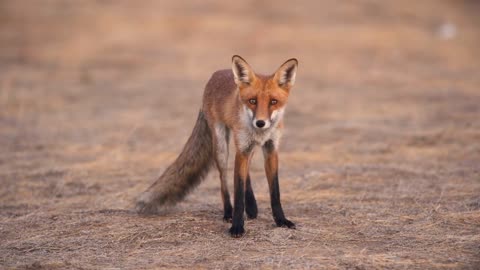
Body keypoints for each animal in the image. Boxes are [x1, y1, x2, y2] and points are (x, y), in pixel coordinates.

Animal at [137, 56, 298, 237]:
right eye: (252, 101)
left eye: (273, 102)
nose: (260, 123)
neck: (260, 133)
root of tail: (216, 74)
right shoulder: (242, 149)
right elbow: (238, 192)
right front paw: (237, 226)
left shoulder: (270, 149)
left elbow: (275, 191)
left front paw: (281, 221)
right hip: (222, 147)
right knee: (224, 180)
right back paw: (228, 212)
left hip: (247, 148)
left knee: (246, 172)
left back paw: (251, 207)